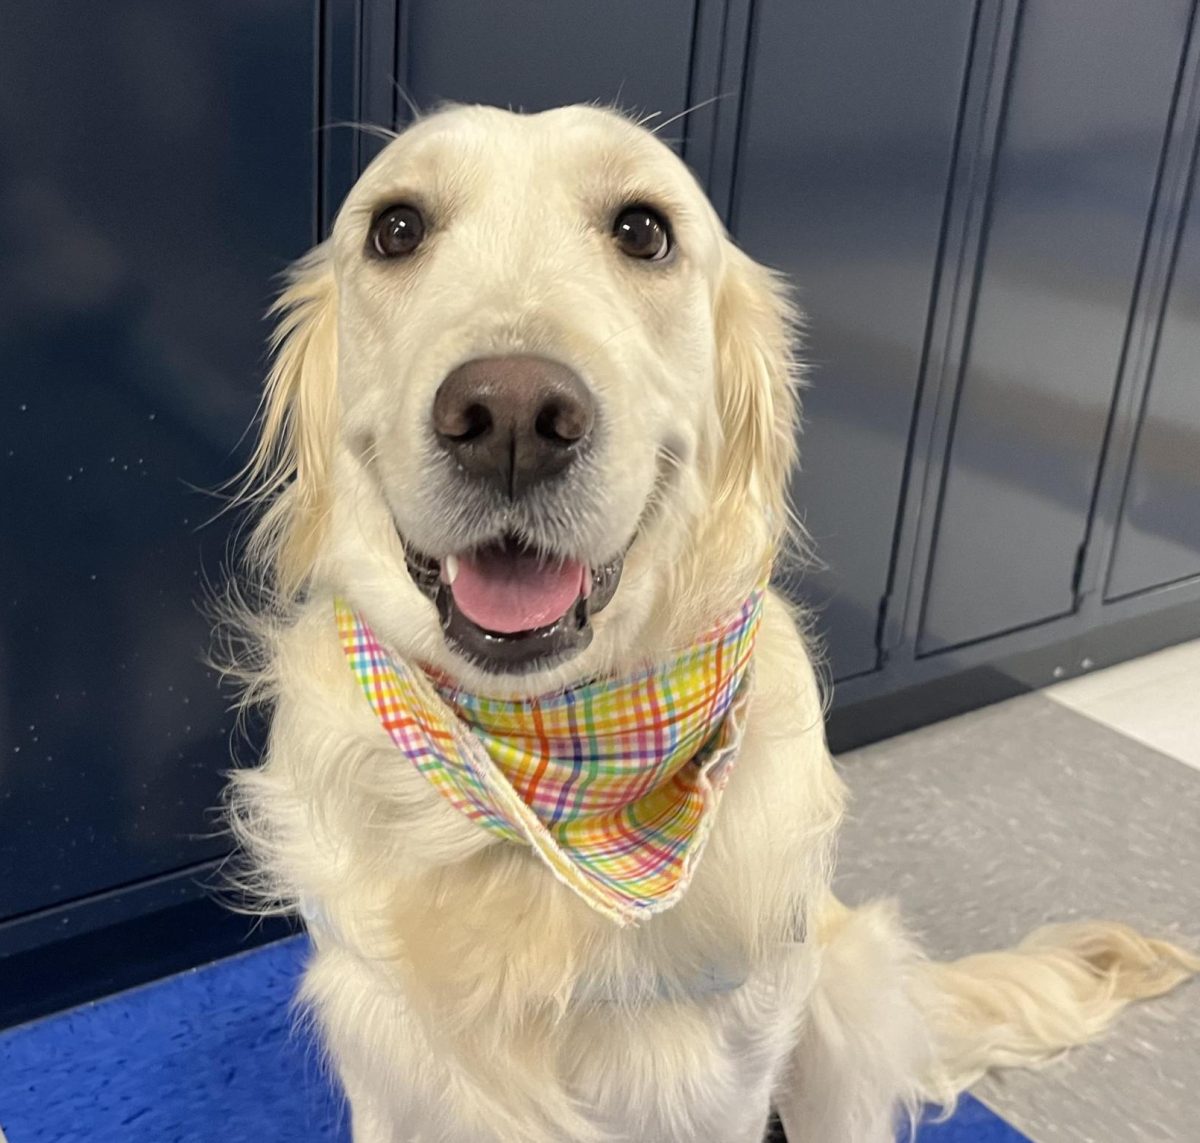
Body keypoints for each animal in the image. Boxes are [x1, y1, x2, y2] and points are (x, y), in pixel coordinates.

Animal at [223, 102, 1190, 1138]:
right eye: (396, 228)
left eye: (643, 230)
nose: (512, 416)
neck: (548, 780)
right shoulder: (390, 1061)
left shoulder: (727, 1077)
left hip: (836, 1004)